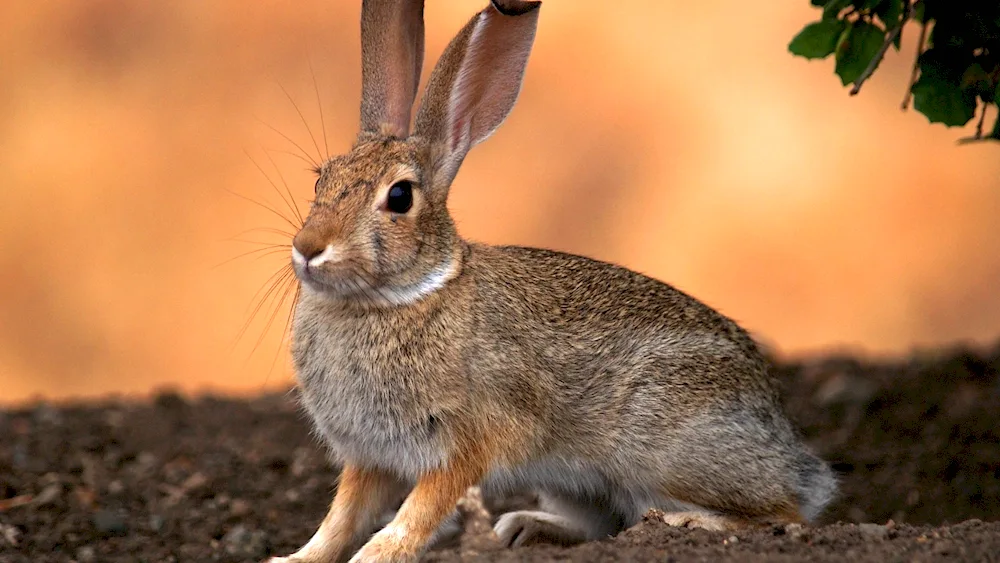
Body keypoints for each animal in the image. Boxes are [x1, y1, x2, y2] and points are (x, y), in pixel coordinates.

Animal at [266, 1, 836, 563]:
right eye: (321, 179)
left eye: (400, 197)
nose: (308, 247)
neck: (400, 296)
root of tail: (786, 443)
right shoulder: (370, 456)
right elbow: (342, 516)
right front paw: (297, 558)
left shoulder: (468, 441)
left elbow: (418, 511)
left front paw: (378, 554)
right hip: (576, 481)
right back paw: (523, 526)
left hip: (664, 448)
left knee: (784, 513)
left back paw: (690, 521)